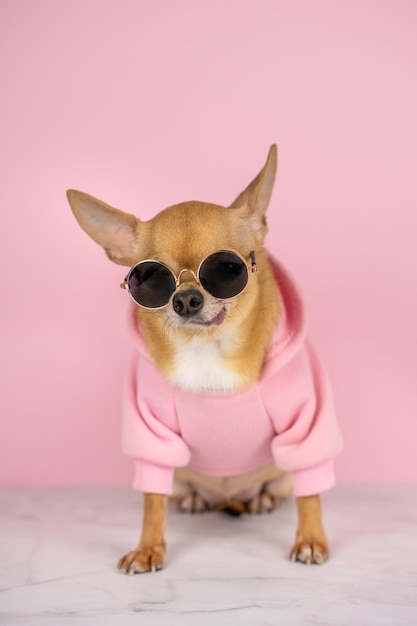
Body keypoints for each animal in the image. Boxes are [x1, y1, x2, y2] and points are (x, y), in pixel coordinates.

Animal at [67, 145, 342, 572]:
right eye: (149, 278)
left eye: (228, 268)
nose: (185, 299)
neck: (209, 349)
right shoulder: (152, 433)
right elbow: (152, 502)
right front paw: (148, 546)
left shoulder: (305, 425)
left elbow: (310, 494)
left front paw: (311, 539)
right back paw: (194, 499)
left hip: (279, 468)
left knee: (282, 486)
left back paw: (262, 498)